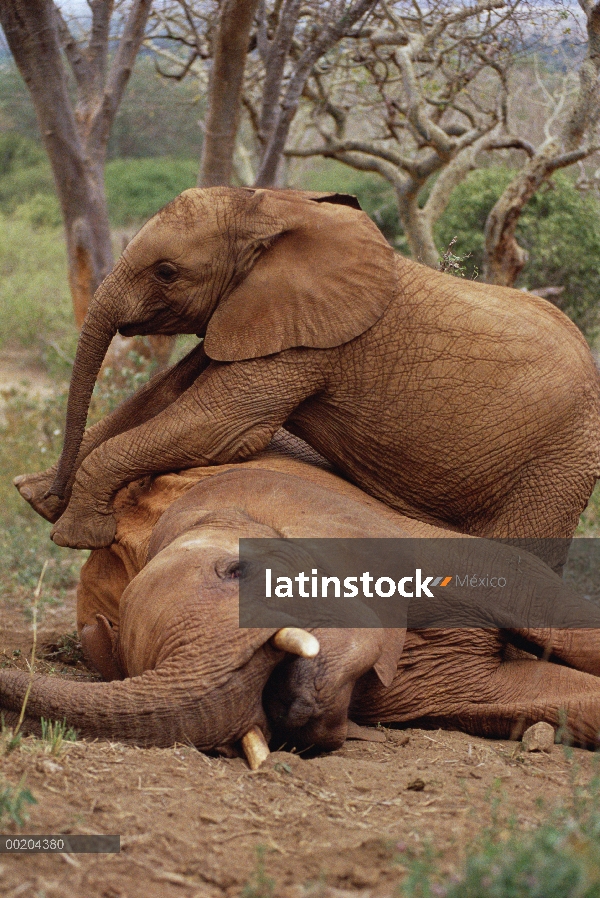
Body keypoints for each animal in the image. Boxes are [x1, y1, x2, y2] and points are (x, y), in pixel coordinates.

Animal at [12, 186, 600, 572]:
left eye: (167, 272)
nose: (54, 491)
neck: (283, 209)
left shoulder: (312, 343)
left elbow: (217, 426)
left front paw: (73, 532)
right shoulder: (259, 317)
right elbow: (165, 394)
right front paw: (35, 495)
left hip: (558, 464)